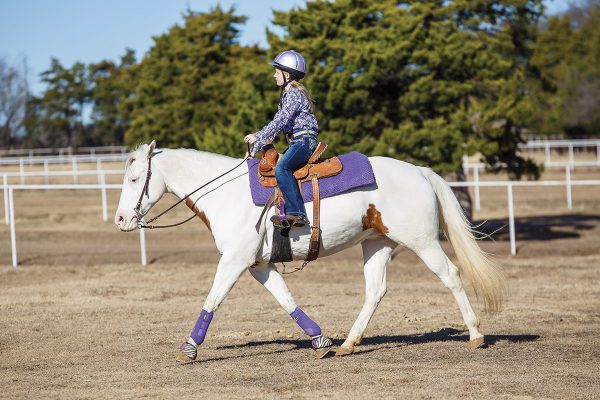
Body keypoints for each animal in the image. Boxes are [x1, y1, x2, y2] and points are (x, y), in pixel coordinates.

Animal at [115, 141, 504, 362]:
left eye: (134, 179)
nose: (121, 219)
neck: (226, 193)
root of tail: (420, 172)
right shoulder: (258, 265)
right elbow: (286, 300)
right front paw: (320, 340)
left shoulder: (234, 261)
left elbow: (212, 299)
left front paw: (190, 348)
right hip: (377, 244)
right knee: (375, 291)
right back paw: (348, 344)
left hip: (422, 242)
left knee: (451, 276)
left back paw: (476, 335)